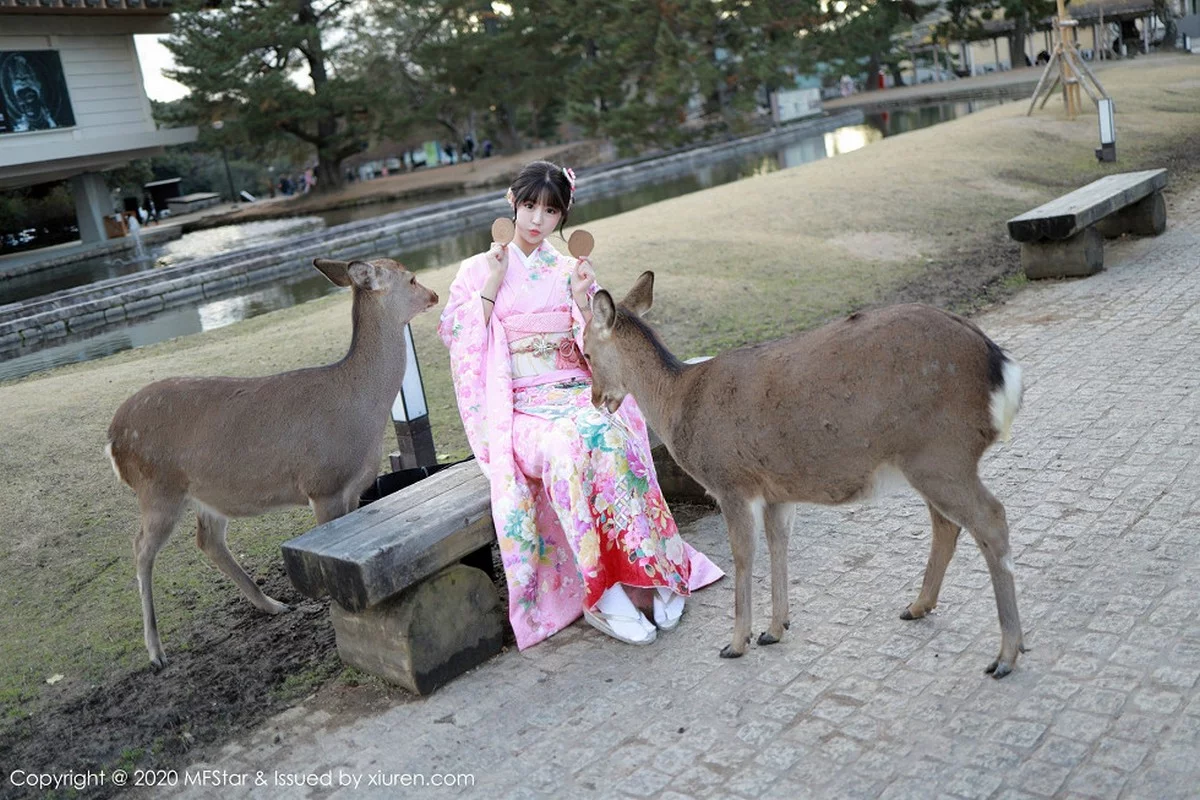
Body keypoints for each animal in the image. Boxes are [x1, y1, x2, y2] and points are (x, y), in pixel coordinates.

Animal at [105, 257, 439, 671]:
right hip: (157, 488)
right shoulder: (323, 483)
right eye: (411, 278)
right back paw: (156, 652)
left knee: (208, 540)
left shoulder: (352, 489)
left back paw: (273, 605)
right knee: (141, 549)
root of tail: (112, 439)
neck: (362, 411)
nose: (434, 294)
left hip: (205, 493)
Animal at [585, 272, 1027, 681]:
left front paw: (736, 642)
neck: (676, 401)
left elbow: (744, 556)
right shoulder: (776, 490)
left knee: (991, 518)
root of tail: (1001, 367)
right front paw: (775, 628)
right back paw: (918, 606)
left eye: (586, 351)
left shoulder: (731, 482)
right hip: (930, 460)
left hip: (942, 453)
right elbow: (779, 545)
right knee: (947, 525)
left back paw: (1006, 654)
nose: (595, 398)